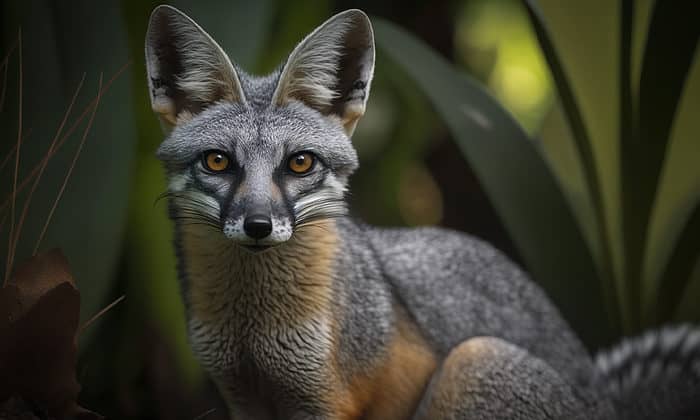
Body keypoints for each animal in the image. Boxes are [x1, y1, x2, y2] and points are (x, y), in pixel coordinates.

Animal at [144, 4, 700, 420]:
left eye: (300, 163)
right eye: (218, 161)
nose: (258, 225)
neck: (253, 330)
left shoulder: (325, 402)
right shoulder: (241, 397)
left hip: (473, 363)